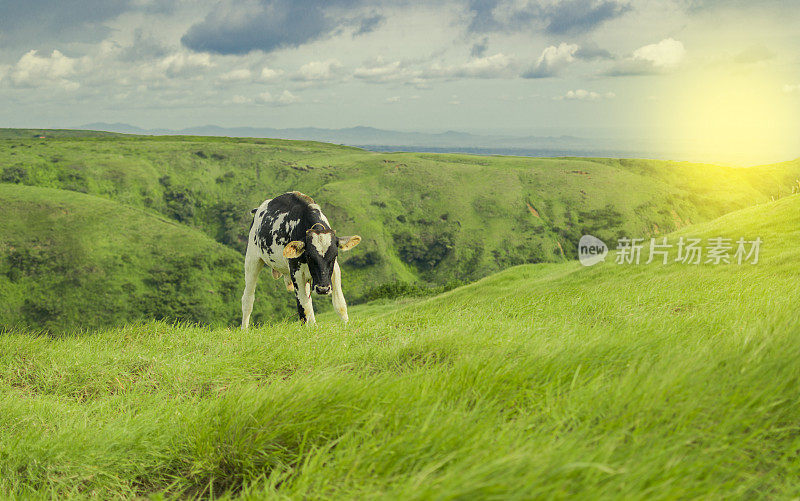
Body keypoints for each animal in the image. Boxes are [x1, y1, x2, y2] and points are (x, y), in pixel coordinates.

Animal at [241, 191, 360, 328]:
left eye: (335, 255)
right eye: (309, 256)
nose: (323, 289)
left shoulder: (335, 269)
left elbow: (340, 304)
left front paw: (347, 326)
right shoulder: (295, 271)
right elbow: (303, 308)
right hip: (252, 259)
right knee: (248, 299)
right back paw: (244, 329)